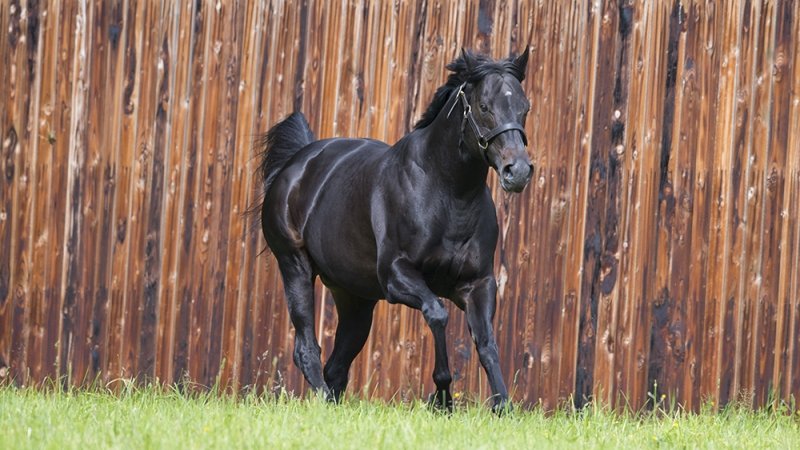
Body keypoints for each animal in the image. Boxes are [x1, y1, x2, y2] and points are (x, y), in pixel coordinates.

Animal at [256, 49, 533, 413]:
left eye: (524, 107)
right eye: (485, 106)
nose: (519, 171)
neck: (447, 191)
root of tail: (297, 163)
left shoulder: (477, 284)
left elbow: (486, 340)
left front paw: (502, 406)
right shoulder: (397, 276)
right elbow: (438, 314)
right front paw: (442, 397)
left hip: (355, 298)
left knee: (338, 363)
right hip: (295, 267)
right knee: (306, 349)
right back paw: (322, 399)